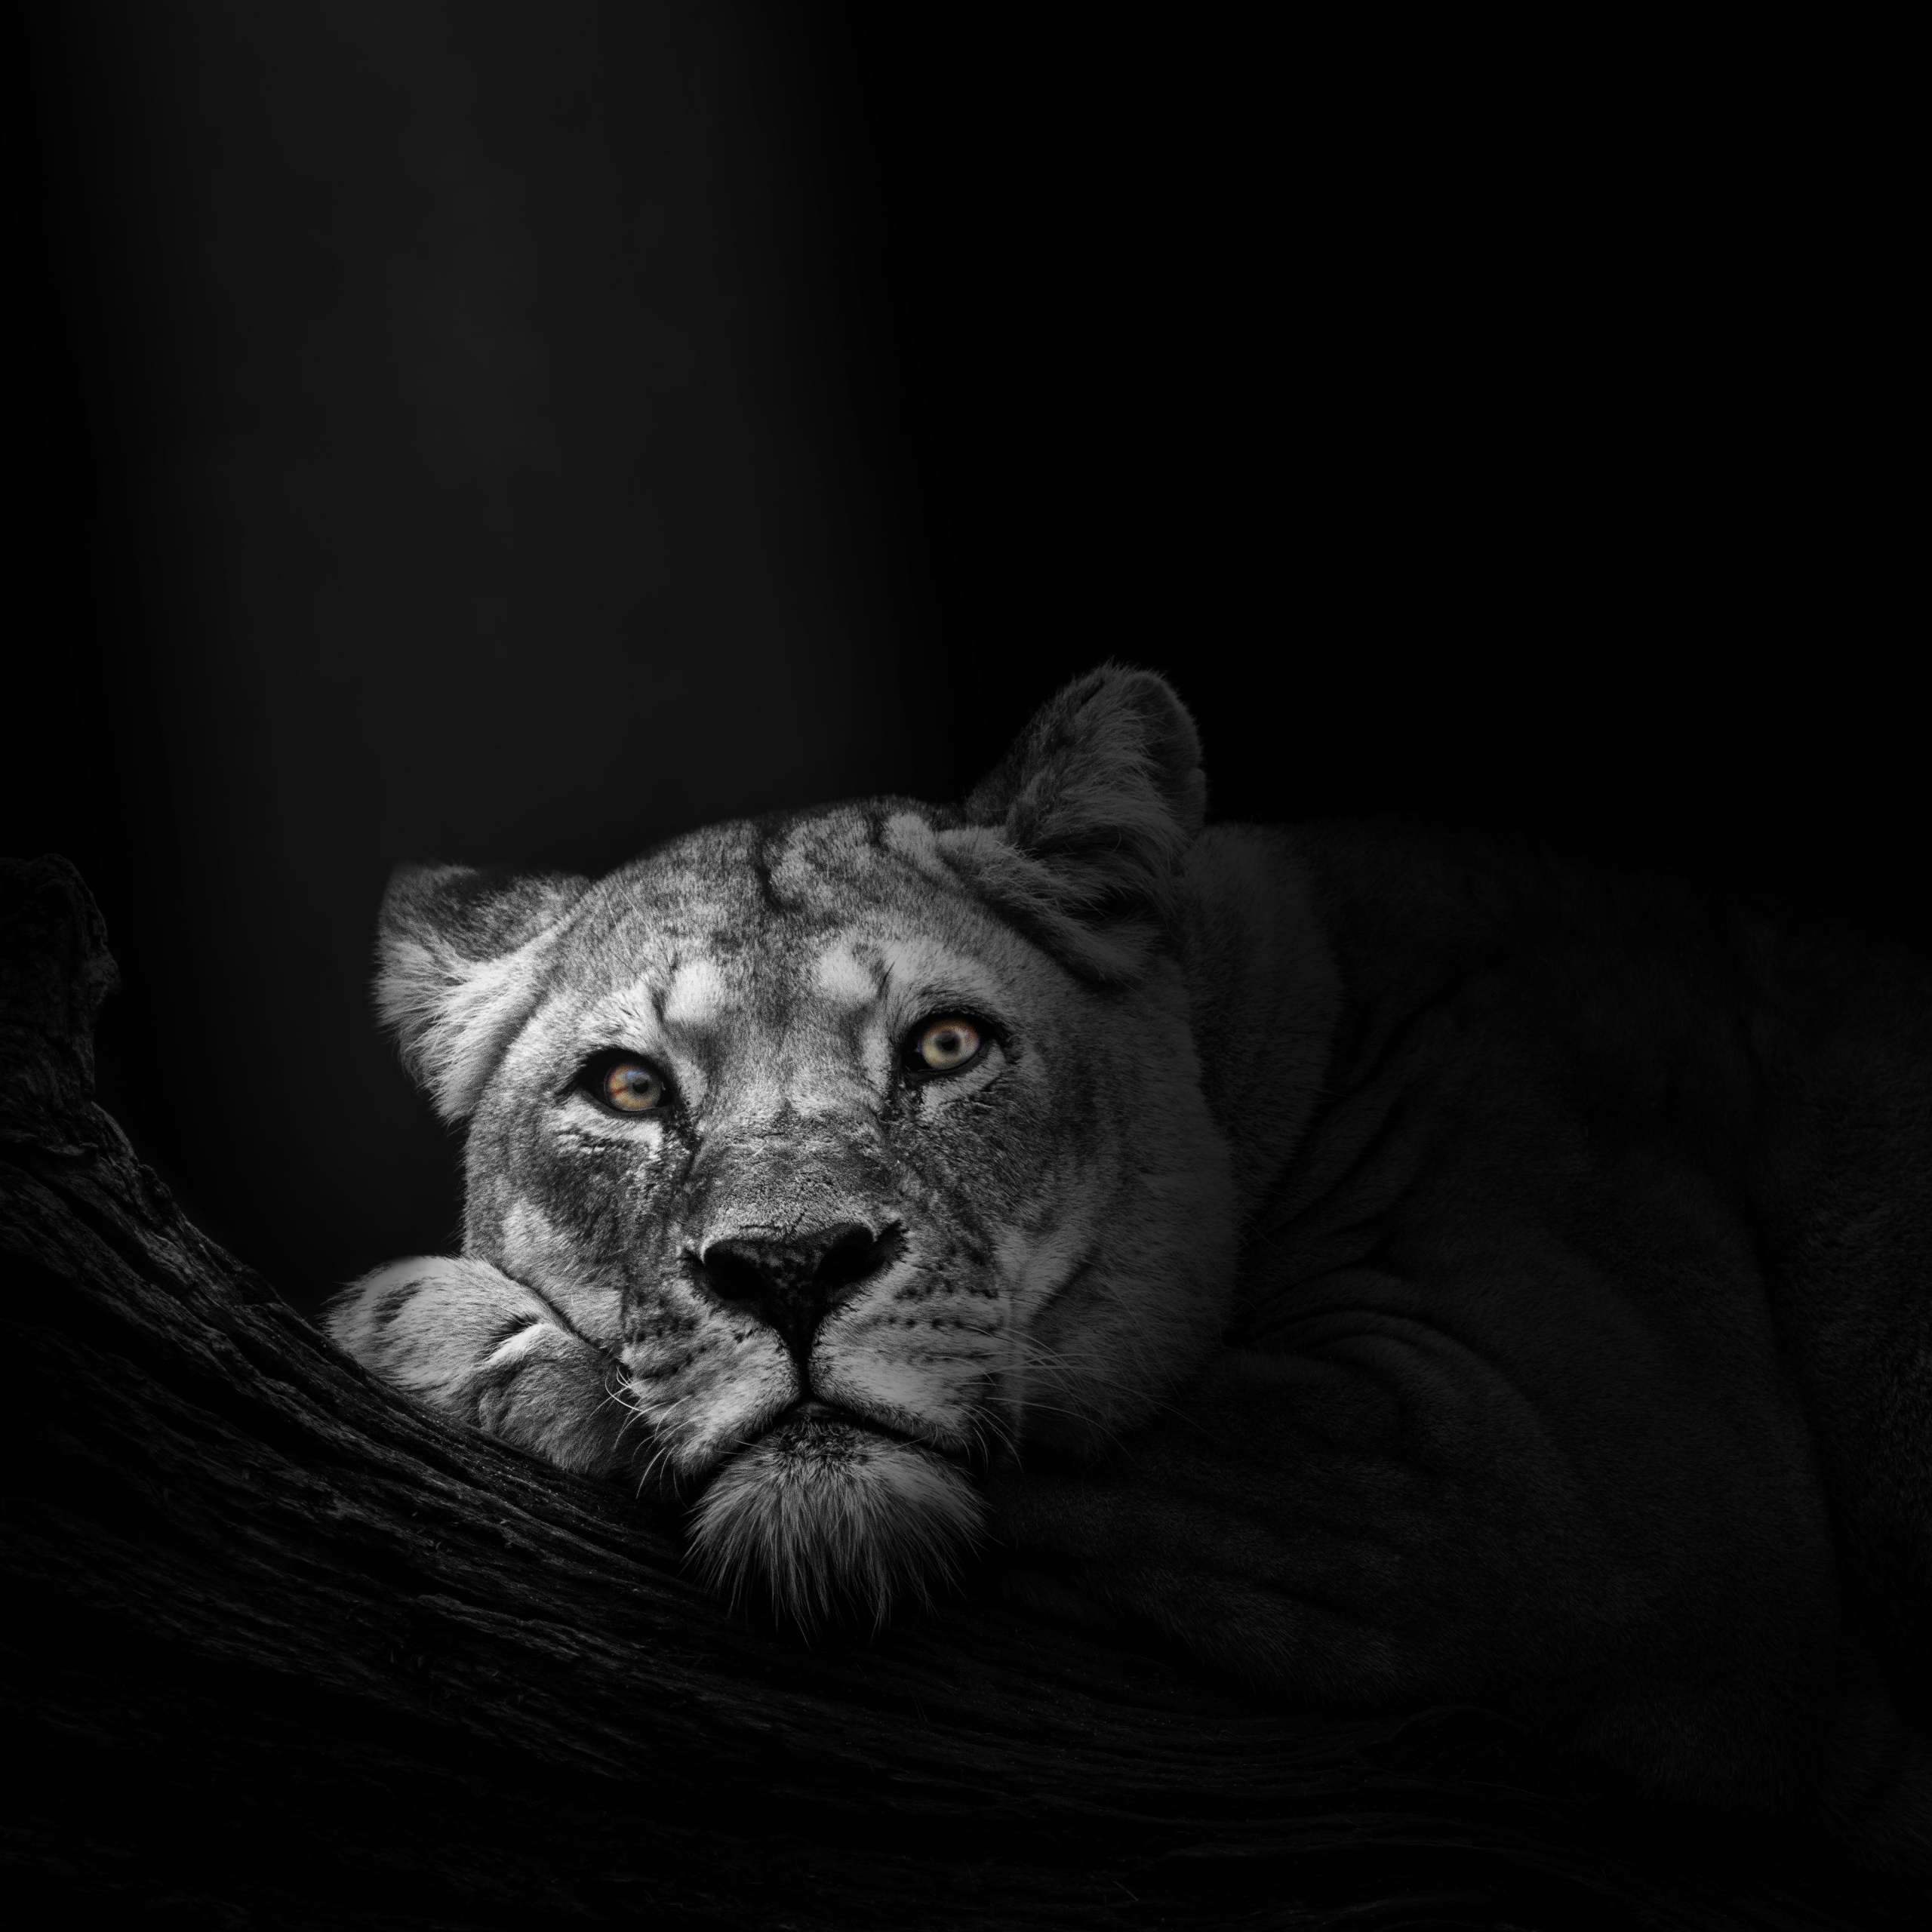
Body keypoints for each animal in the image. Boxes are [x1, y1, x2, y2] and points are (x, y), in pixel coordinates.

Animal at [327, 664, 1932, 1874]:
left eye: (947, 1046)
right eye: (628, 1090)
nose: (792, 1267)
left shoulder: (1545, 1481)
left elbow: (1093, 1444)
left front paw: (426, 1325)